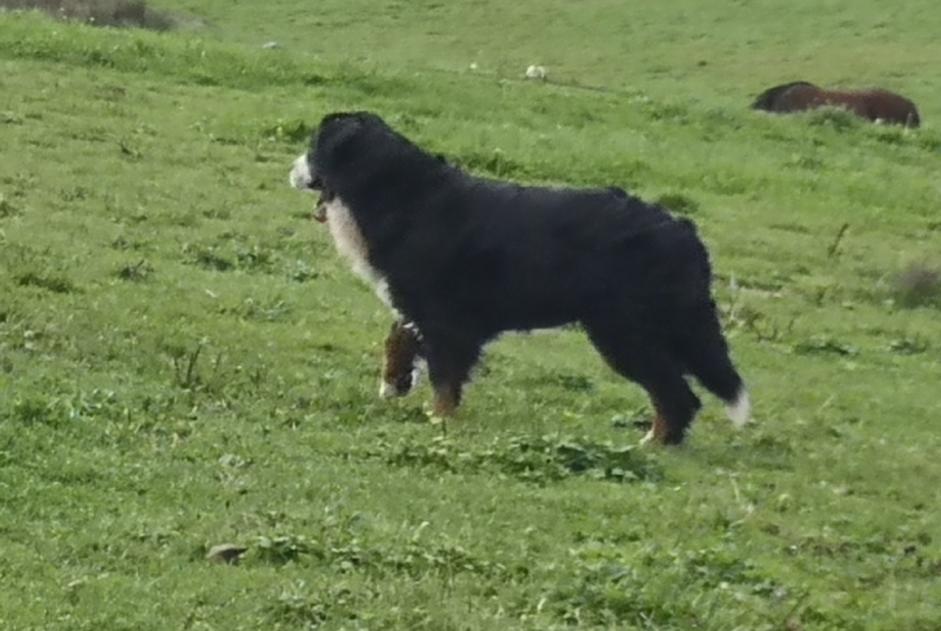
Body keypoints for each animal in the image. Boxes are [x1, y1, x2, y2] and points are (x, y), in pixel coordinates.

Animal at [290, 113, 744, 446]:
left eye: (314, 146)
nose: (292, 169)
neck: (398, 192)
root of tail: (683, 230)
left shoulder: (447, 320)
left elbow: (444, 377)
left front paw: (439, 420)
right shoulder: (419, 304)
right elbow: (398, 339)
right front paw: (394, 384)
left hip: (626, 331)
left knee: (676, 392)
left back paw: (654, 443)